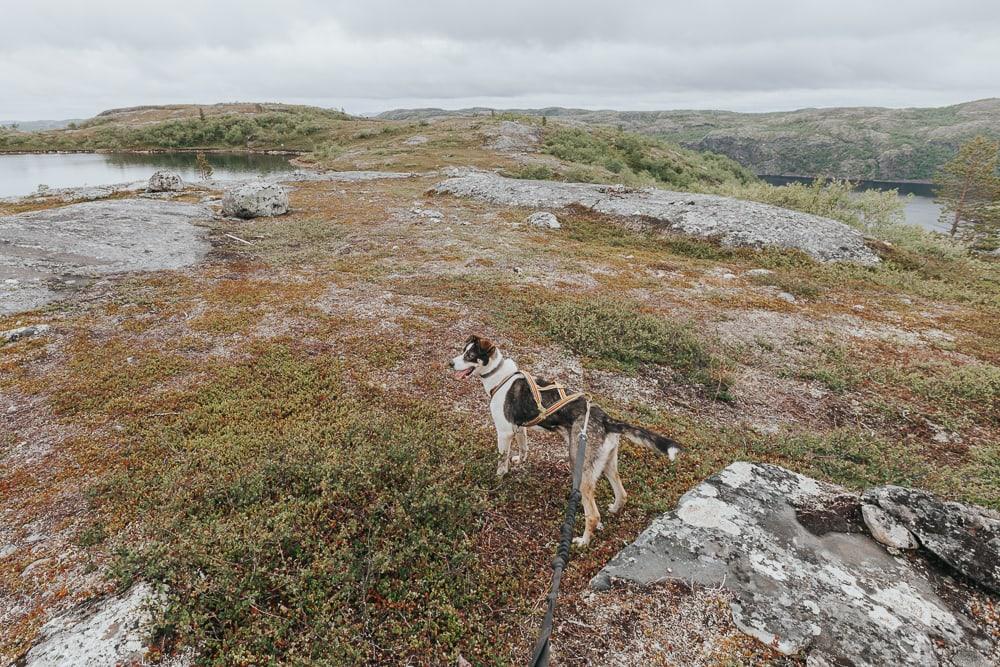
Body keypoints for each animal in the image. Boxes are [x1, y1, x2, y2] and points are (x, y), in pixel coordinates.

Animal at [452, 334, 680, 548]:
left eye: (469, 355)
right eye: (463, 351)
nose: (450, 363)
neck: (499, 376)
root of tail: (606, 420)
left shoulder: (504, 432)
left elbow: (501, 460)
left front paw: (498, 477)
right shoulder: (518, 427)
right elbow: (524, 446)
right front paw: (520, 460)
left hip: (580, 467)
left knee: (593, 514)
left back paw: (583, 541)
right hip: (607, 463)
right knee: (622, 494)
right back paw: (614, 510)